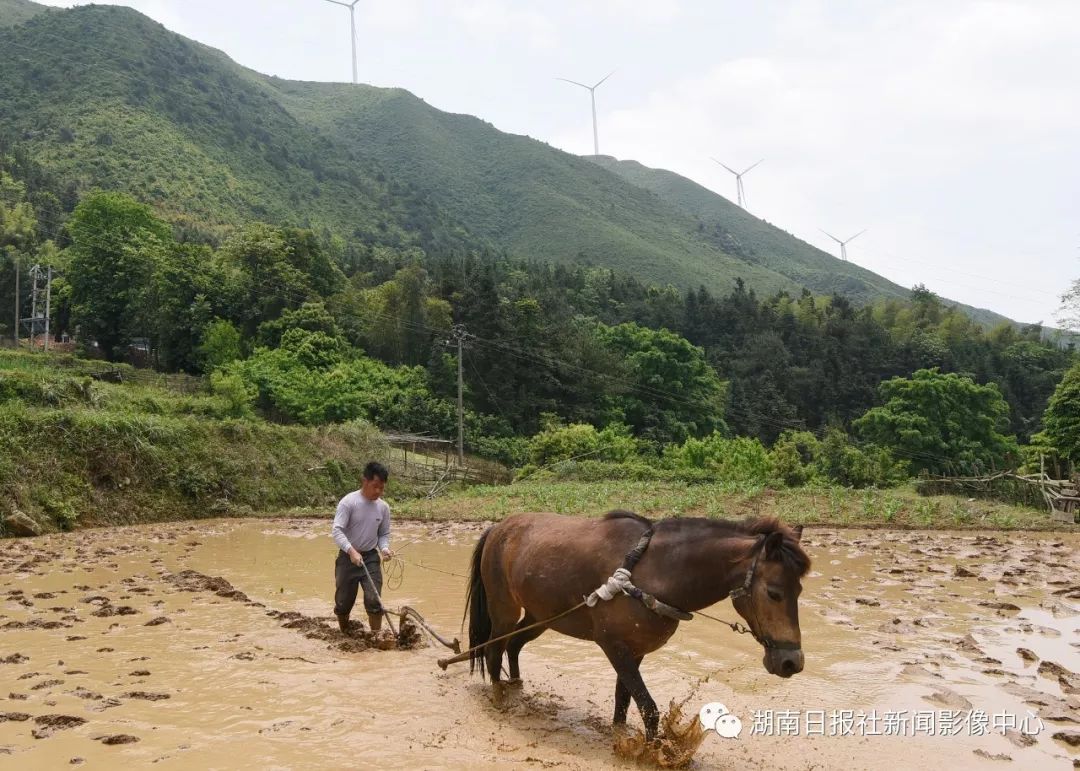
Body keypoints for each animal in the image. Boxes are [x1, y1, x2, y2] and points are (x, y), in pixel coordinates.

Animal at [464, 507, 812, 734]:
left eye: (799, 590)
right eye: (774, 592)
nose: (791, 662)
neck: (654, 573)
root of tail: (497, 528)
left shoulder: (636, 649)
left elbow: (623, 699)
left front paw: (619, 737)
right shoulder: (614, 646)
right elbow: (648, 707)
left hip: (541, 617)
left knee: (513, 646)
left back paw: (516, 686)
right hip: (504, 610)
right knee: (494, 651)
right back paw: (500, 699)